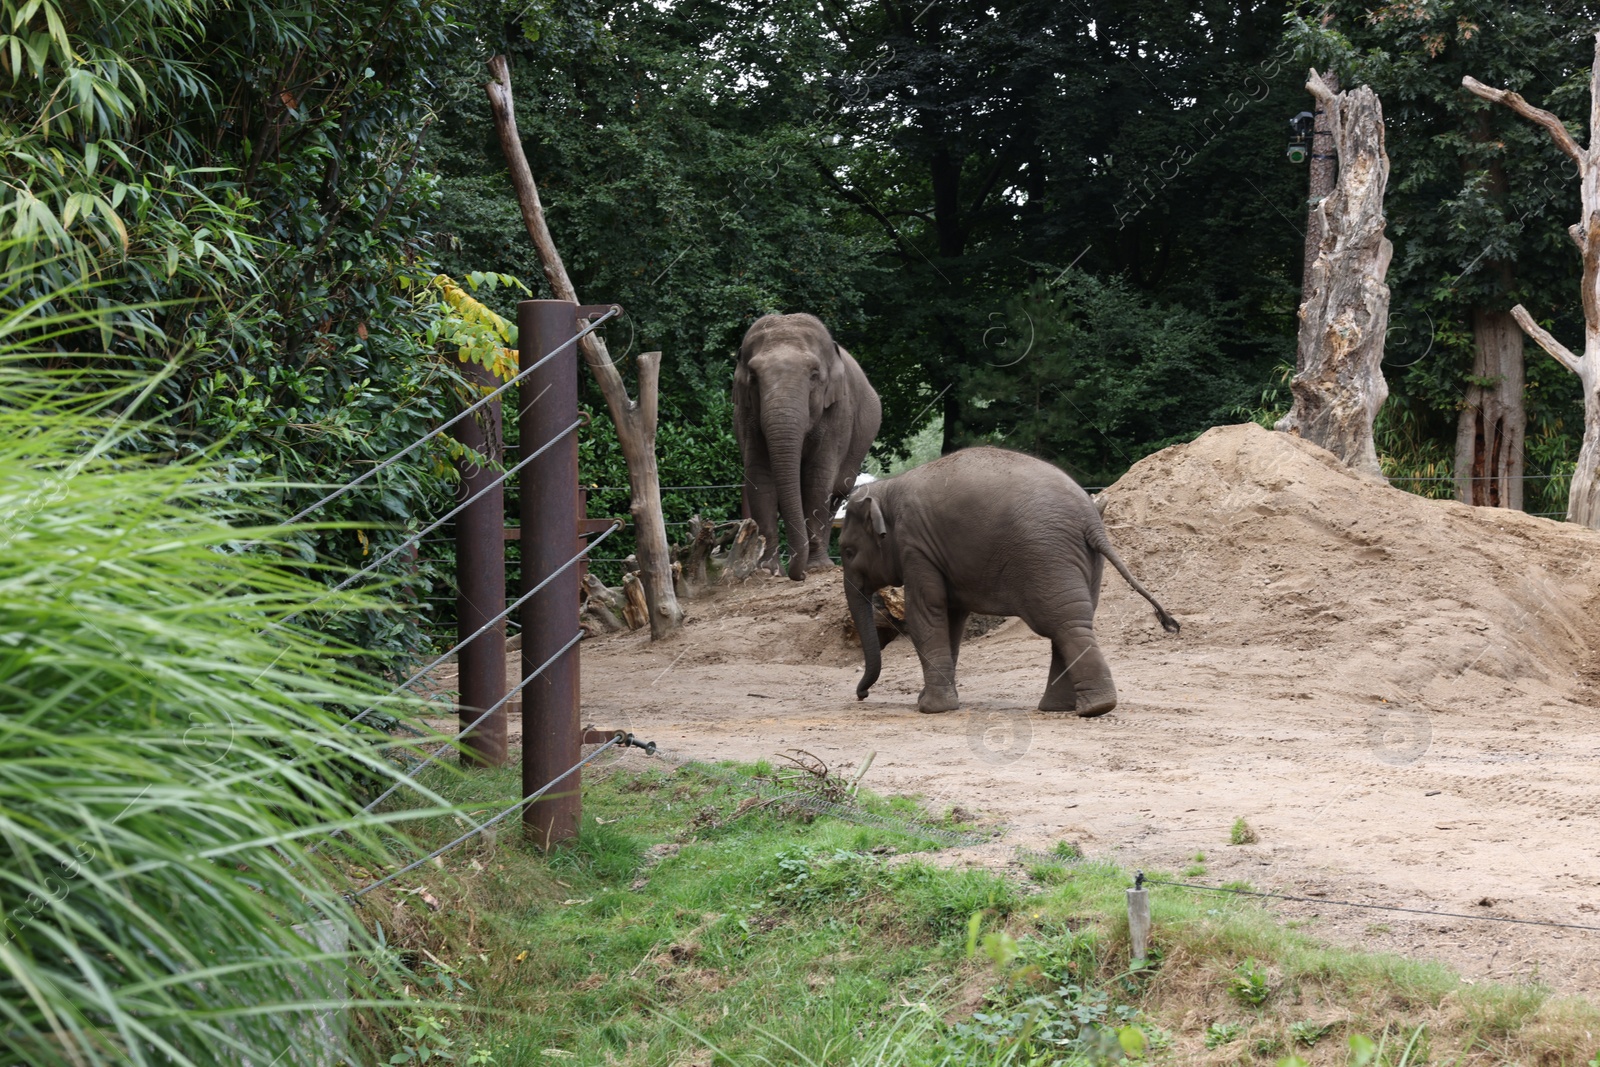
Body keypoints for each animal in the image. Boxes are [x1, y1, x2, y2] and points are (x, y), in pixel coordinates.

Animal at [732, 313, 883, 579]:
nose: (799, 575)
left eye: (814, 374)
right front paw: (769, 571)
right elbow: (760, 477)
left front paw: (816, 568)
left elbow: (817, 479)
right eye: (753, 376)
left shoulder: (838, 412)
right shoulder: (746, 414)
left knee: (834, 494)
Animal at [838, 447, 1177, 713]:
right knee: (1072, 621)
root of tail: (1091, 518)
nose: (862, 694)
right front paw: (934, 702)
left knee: (1062, 623)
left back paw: (1093, 707)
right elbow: (951, 618)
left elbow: (926, 613)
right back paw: (1064, 708)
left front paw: (931, 708)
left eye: (847, 551)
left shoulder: (916, 548)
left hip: (1044, 556)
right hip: (1083, 563)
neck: (887, 490)